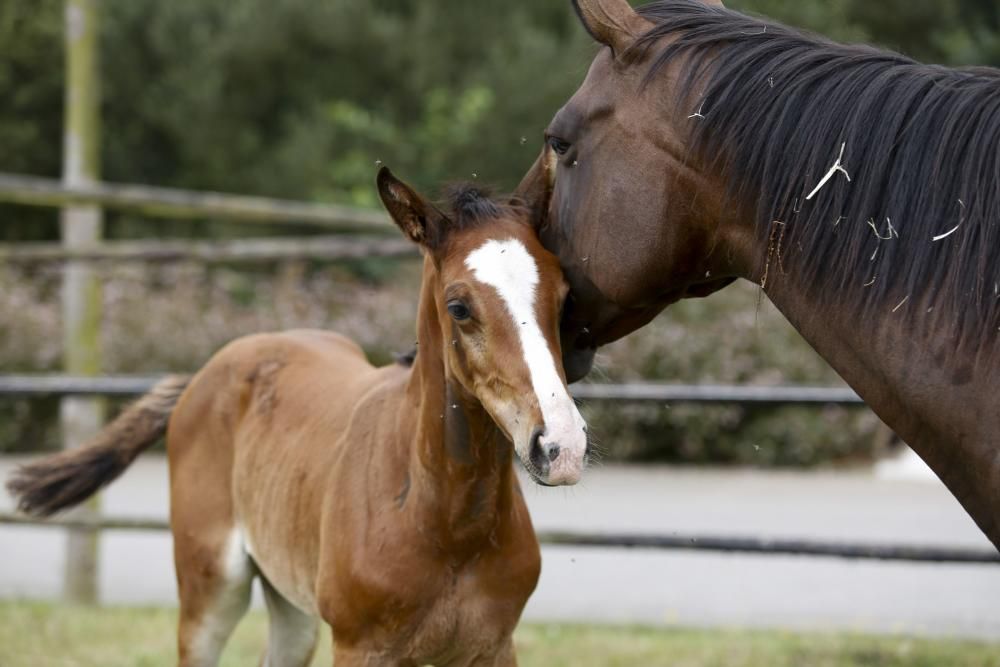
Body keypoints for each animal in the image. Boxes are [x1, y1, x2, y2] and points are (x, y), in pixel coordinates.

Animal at [7, 170, 588, 664]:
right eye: (459, 307)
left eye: (563, 297)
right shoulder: (359, 647)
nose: (560, 446)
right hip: (210, 593)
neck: (445, 519)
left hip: (290, 602)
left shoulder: (492, 648)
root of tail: (206, 371)